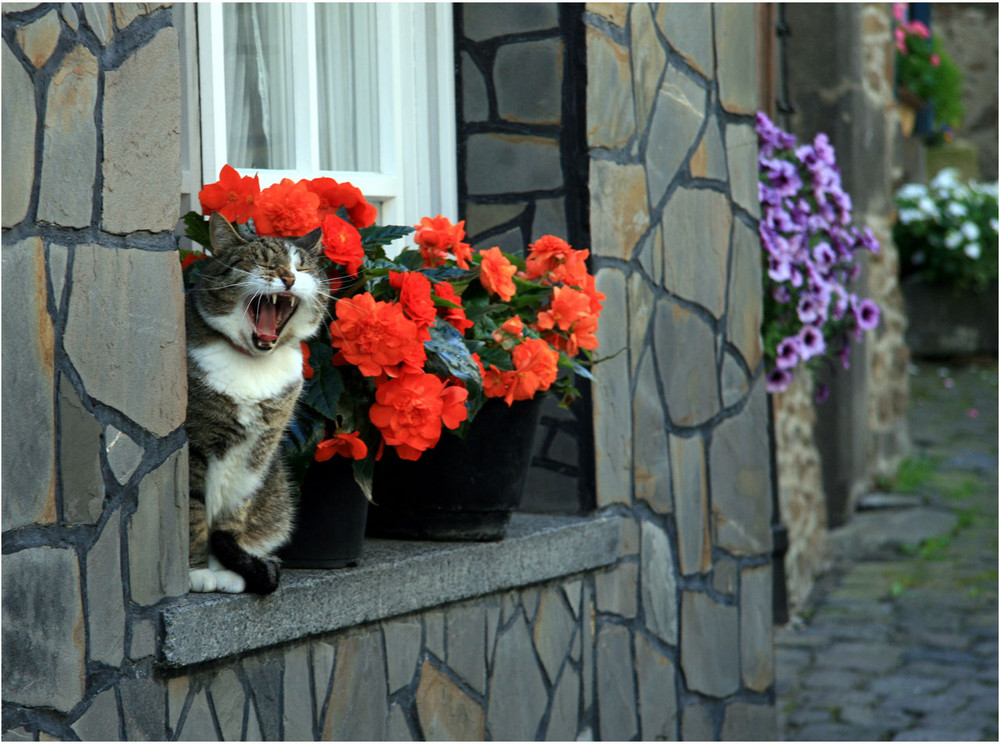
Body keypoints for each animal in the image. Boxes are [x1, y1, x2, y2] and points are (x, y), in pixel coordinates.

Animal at [186, 211, 326, 592]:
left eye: (301, 267)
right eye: (261, 261)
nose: (289, 278)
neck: (253, 364)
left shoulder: (256, 454)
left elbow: (233, 512)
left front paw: (226, 571)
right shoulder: (193, 445)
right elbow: (192, 510)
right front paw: (196, 572)